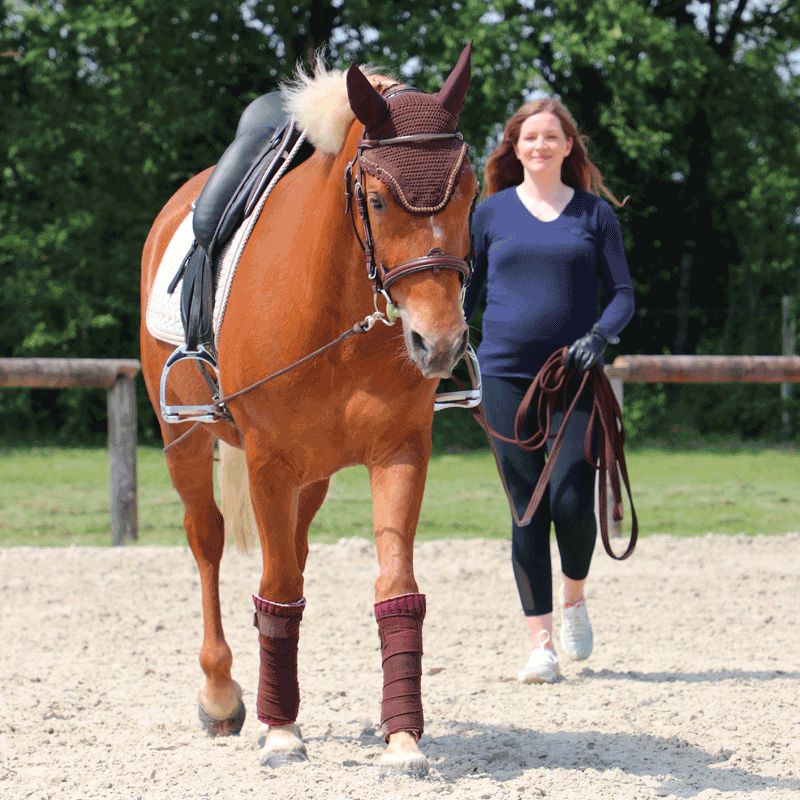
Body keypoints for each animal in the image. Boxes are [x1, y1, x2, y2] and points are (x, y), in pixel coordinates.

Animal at [139, 45, 476, 776]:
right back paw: (221, 693)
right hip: (187, 444)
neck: (339, 312)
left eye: (469, 193)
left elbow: (394, 586)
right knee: (208, 540)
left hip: (313, 475)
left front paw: (402, 739)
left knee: (289, 550)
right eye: (376, 200)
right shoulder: (268, 461)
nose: (438, 343)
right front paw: (281, 733)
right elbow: (276, 582)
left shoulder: (401, 453)